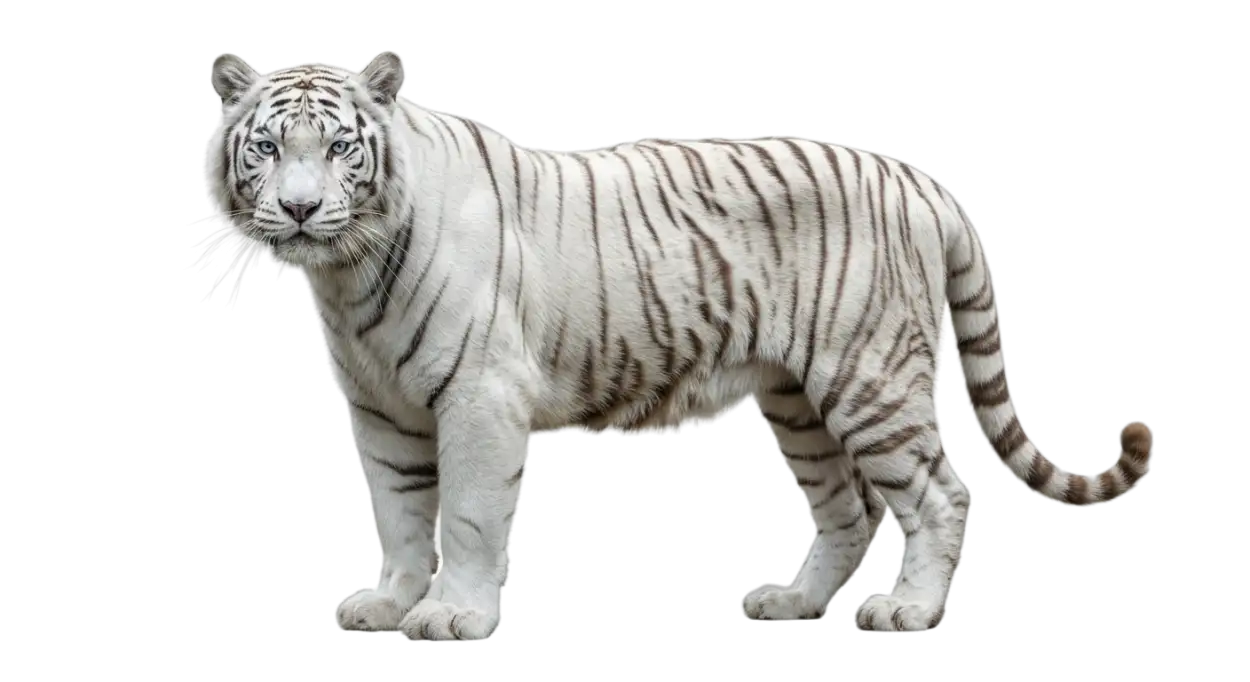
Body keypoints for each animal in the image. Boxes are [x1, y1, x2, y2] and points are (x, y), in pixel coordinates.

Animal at [200, 50, 1154, 640]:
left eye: (340, 148)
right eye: (266, 148)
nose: (297, 209)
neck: (348, 273)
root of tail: (919, 180)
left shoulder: (479, 397)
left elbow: (464, 517)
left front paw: (451, 616)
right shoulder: (382, 412)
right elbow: (400, 517)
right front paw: (392, 604)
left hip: (870, 379)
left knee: (939, 494)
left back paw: (907, 611)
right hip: (797, 401)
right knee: (848, 511)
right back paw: (791, 602)